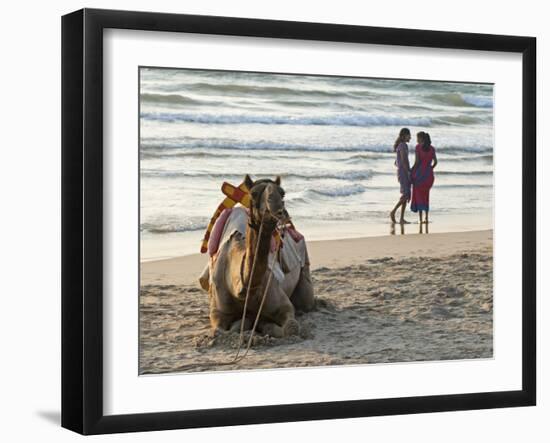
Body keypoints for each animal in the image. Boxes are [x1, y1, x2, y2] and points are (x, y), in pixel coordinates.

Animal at [201, 175, 316, 338]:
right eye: (253, 193)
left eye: (282, 193)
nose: (278, 209)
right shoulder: (218, 312)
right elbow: (219, 331)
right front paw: (246, 323)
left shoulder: (283, 304)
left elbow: (291, 327)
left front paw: (263, 325)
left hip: (305, 264)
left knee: (306, 302)